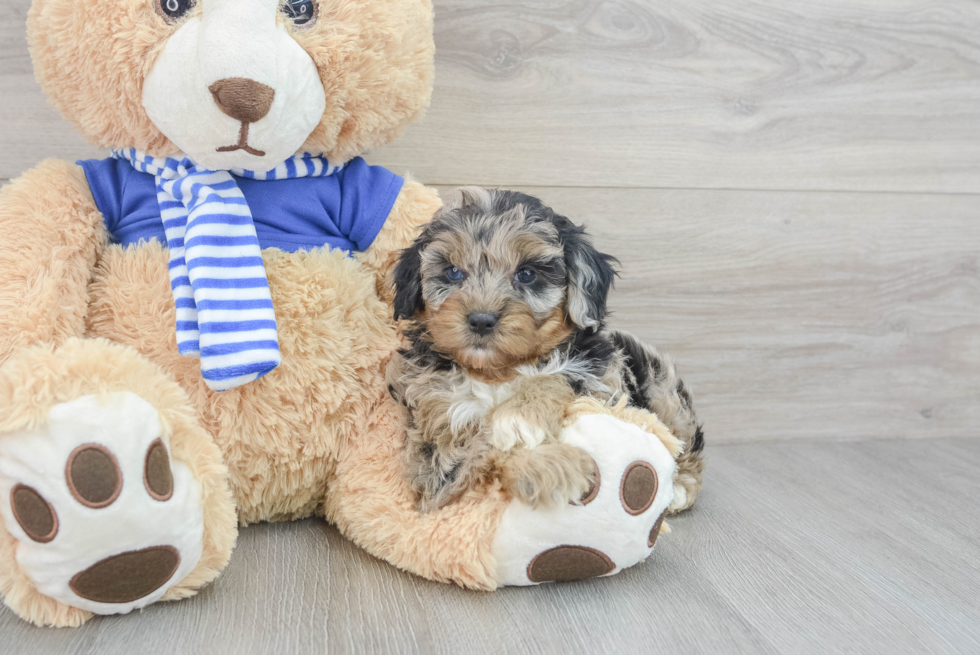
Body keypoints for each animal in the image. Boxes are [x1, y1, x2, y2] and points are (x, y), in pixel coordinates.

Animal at [386, 187, 700, 516]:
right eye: (453, 272)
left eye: (526, 273)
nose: (481, 319)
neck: (497, 371)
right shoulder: (433, 454)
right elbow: (475, 452)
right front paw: (556, 466)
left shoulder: (601, 378)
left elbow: (556, 376)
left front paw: (518, 419)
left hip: (656, 378)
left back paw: (680, 486)